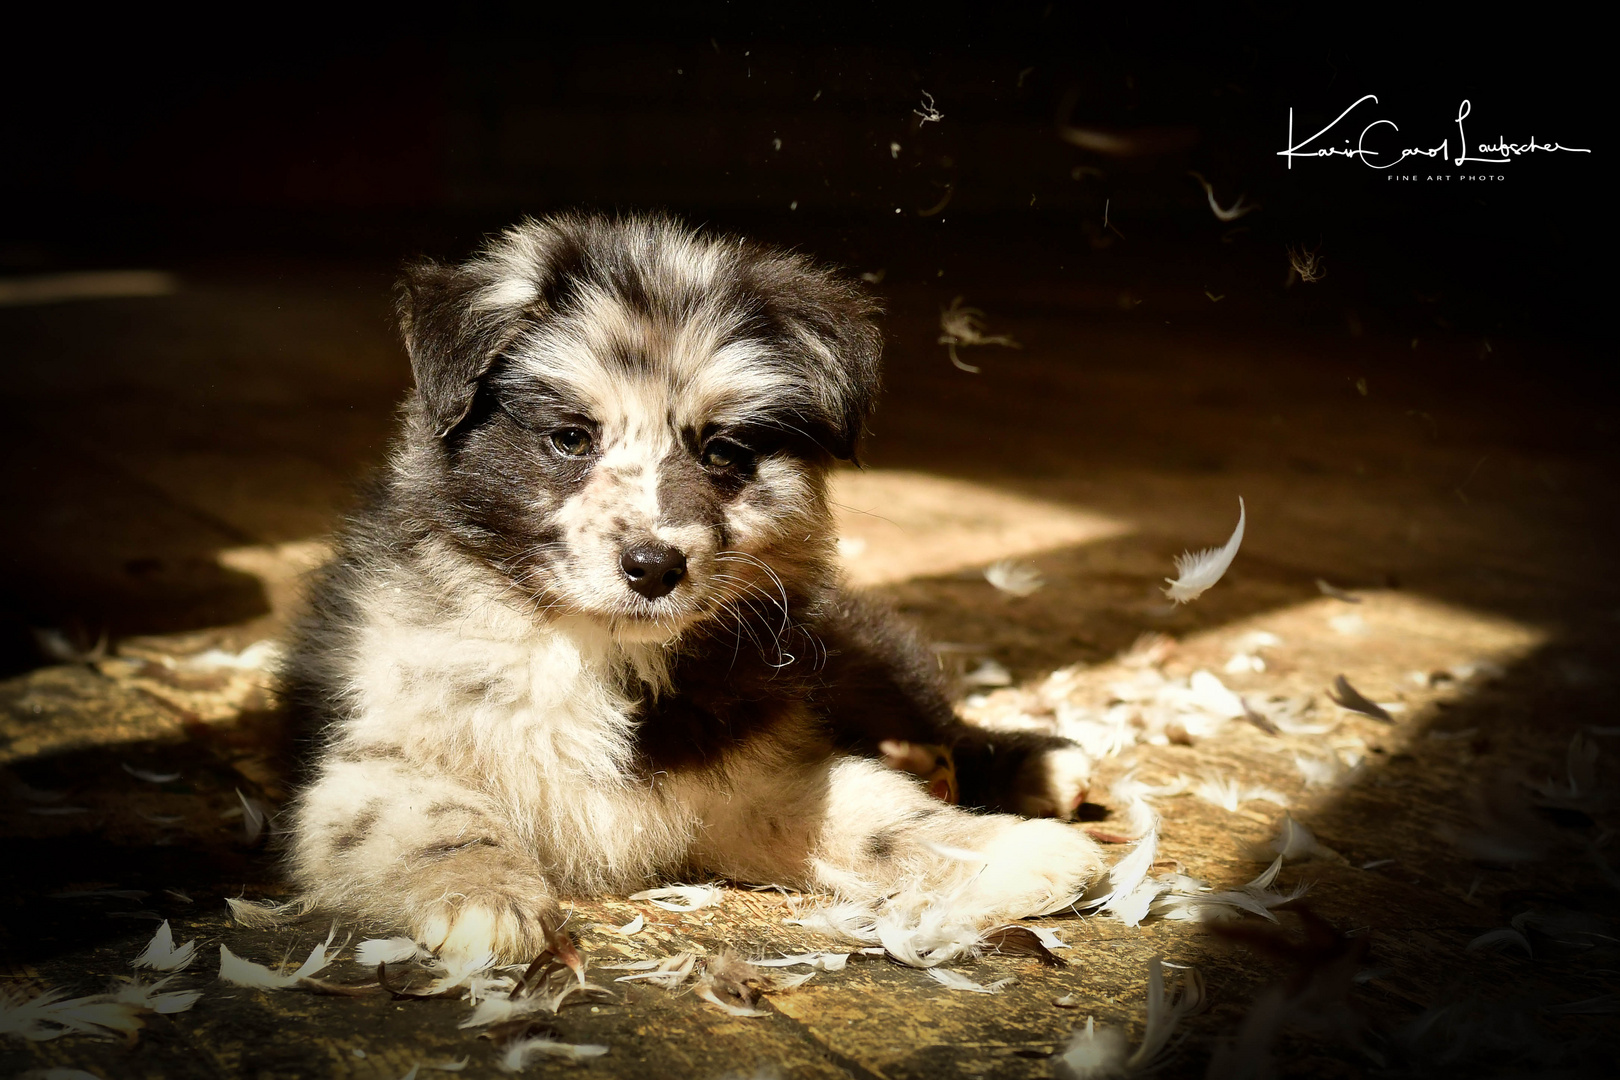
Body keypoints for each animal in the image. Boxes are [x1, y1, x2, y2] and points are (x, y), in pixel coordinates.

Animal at [285, 215, 1108, 958]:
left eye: (723, 452)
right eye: (571, 439)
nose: (654, 567)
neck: (589, 651)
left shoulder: (761, 778)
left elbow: (883, 821)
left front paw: (1008, 850)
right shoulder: (371, 761)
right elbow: (439, 821)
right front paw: (483, 901)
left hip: (848, 653)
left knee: (930, 714)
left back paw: (1034, 766)